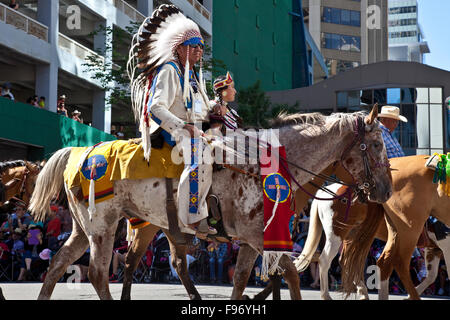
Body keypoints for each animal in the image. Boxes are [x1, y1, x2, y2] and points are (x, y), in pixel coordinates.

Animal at [29, 105, 392, 300]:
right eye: (376, 145)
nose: (386, 191)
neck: (266, 163)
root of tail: (81, 151)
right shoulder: (257, 236)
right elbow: (288, 274)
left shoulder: (251, 240)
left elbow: (243, 278)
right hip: (102, 228)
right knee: (98, 273)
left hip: (87, 229)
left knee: (60, 263)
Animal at [296, 182, 450, 300]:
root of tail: (324, 191)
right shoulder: (444, 246)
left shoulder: (434, 248)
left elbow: (431, 276)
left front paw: (409, 295)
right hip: (336, 235)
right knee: (325, 260)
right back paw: (327, 295)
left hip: (353, 235)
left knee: (346, 261)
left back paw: (363, 291)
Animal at [342, 155, 450, 300]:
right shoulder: (445, 244)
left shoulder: (434, 248)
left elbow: (431, 276)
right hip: (408, 228)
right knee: (399, 262)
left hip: (391, 231)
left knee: (381, 262)